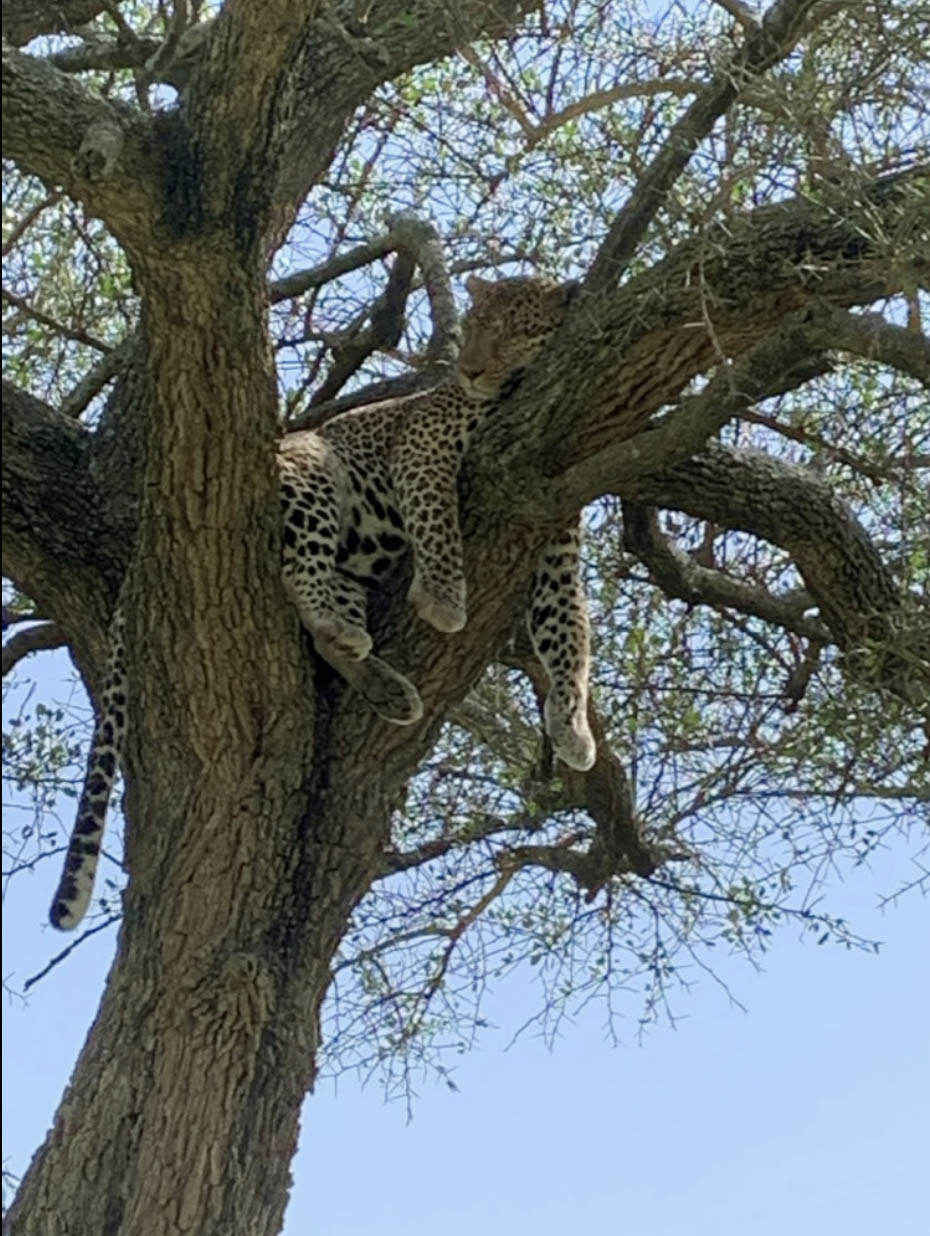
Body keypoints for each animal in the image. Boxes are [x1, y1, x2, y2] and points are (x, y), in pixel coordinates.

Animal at [49, 273, 596, 929]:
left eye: (515, 330)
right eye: (472, 327)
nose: (469, 371)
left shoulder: (555, 536)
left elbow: (569, 633)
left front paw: (572, 727)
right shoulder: (422, 449)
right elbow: (438, 521)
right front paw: (443, 598)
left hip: (349, 561)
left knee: (326, 631)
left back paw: (386, 686)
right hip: (312, 476)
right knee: (300, 580)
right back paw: (356, 635)